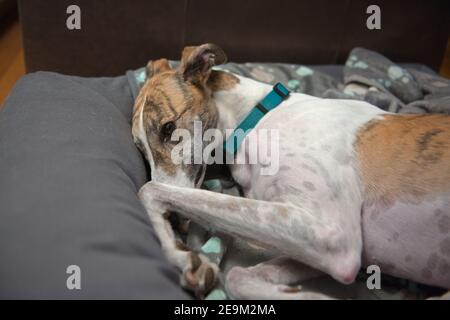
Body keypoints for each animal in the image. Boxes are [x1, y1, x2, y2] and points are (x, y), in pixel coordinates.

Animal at [132, 43, 450, 298]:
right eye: (139, 148)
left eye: (169, 128)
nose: (175, 222)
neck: (257, 116)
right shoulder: (334, 253)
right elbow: (237, 276)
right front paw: (188, 259)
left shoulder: (332, 236)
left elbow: (150, 189)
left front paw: (179, 251)